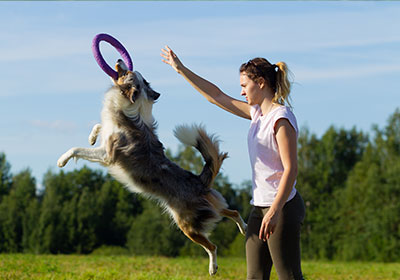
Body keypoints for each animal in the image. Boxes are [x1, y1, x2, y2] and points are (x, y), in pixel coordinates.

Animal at [57, 59, 247, 276]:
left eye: (126, 72)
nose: (119, 60)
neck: (132, 107)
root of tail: (199, 181)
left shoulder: (107, 154)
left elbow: (77, 149)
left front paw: (62, 160)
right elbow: (99, 126)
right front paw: (92, 136)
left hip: (187, 224)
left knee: (212, 246)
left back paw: (213, 268)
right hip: (211, 207)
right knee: (232, 212)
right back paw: (244, 228)